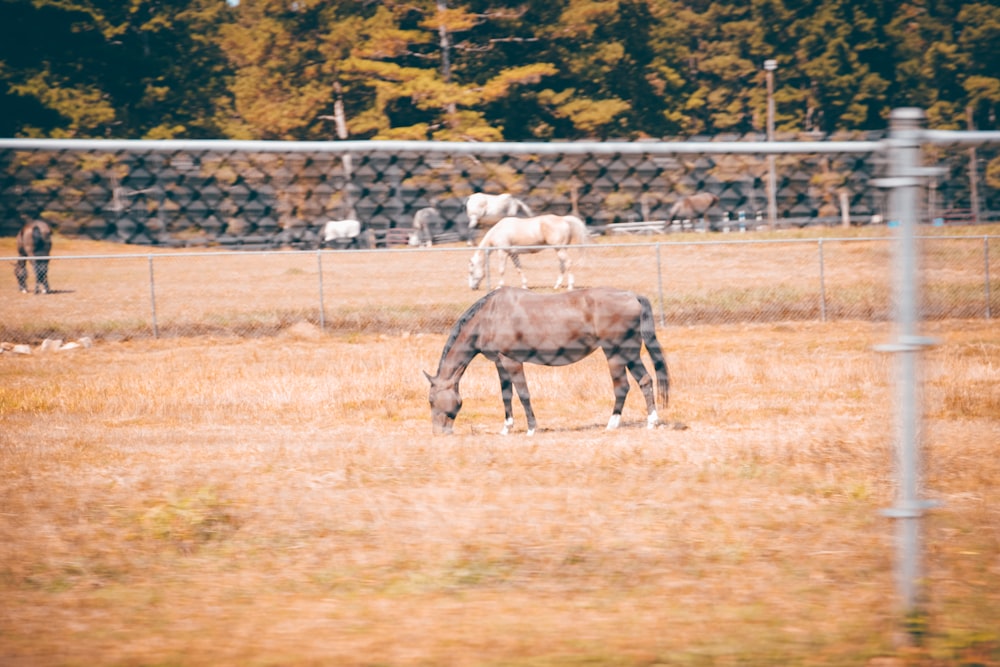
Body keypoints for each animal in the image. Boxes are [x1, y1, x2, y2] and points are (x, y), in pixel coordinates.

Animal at [424, 288, 672, 438]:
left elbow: (523, 394)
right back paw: (652, 421)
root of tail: (632, 296)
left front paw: (531, 429)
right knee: (645, 380)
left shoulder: (512, 361)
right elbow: (506, 395)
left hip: (615, 353)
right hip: (630, 352)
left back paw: (612, 423)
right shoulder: (499, 363)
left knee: (622, 387)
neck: (490, 316)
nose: (438, 432)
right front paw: (506, 428)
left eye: (431, 400)